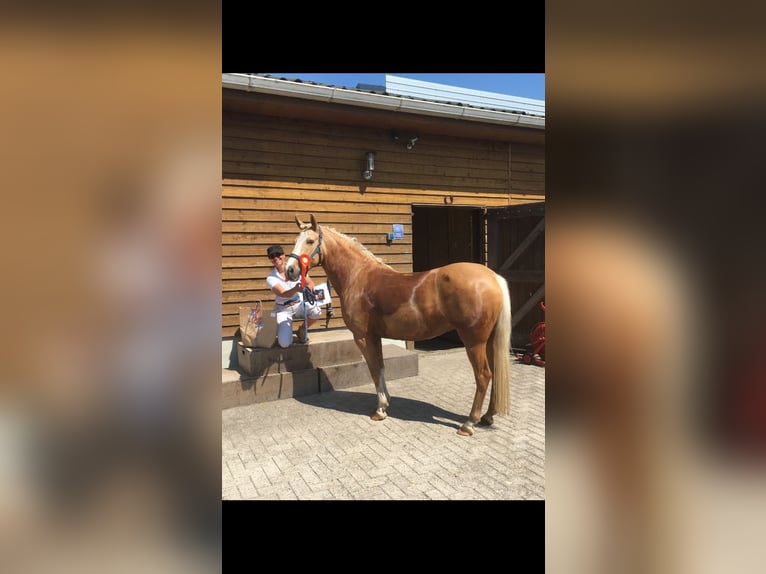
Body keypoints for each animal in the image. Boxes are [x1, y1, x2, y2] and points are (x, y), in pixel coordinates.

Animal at [285, 214, 512, 436]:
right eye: (295, 240)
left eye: (310, 241)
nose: (290, 270)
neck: (358, 276)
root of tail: (493, 277)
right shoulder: (375, 337)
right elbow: (381, 368)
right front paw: (386, 404)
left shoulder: (362, 337)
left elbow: (374, 370)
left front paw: (379, 410)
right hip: (489, 340)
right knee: (494, 373)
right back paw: (487, 417)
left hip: (473, 342)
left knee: (483, 376)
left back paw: (469, 423)